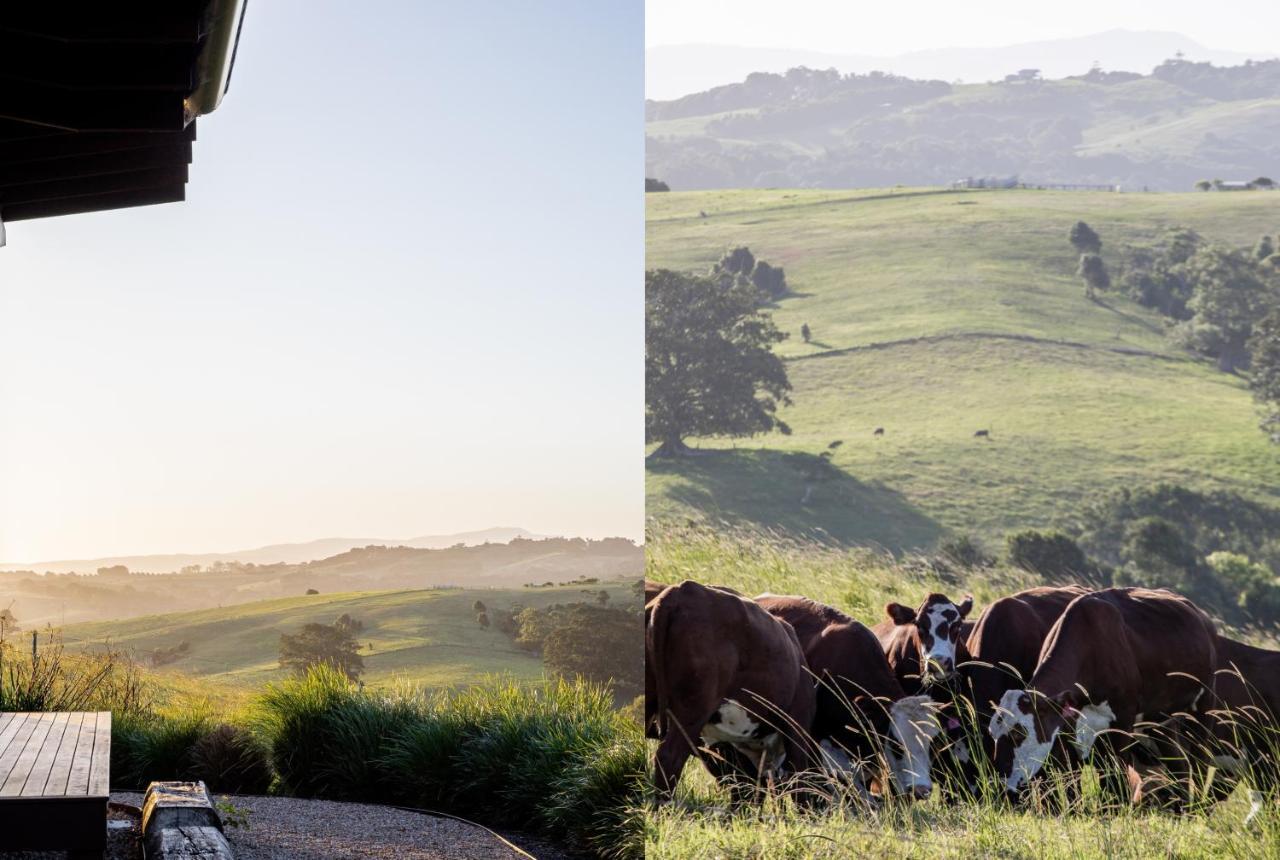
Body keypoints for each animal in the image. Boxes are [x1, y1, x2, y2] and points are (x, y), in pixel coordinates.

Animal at [988, 588, 1218, 803]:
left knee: (1200, 761)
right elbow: (1073, 779)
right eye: (992, 733)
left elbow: (1115, 780)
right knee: (1179, 764)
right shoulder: (1067, 728)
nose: (1002, 784)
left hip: (1204, 707)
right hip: (1160, 720)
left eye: (1019, 733)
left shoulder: (1122, 723)